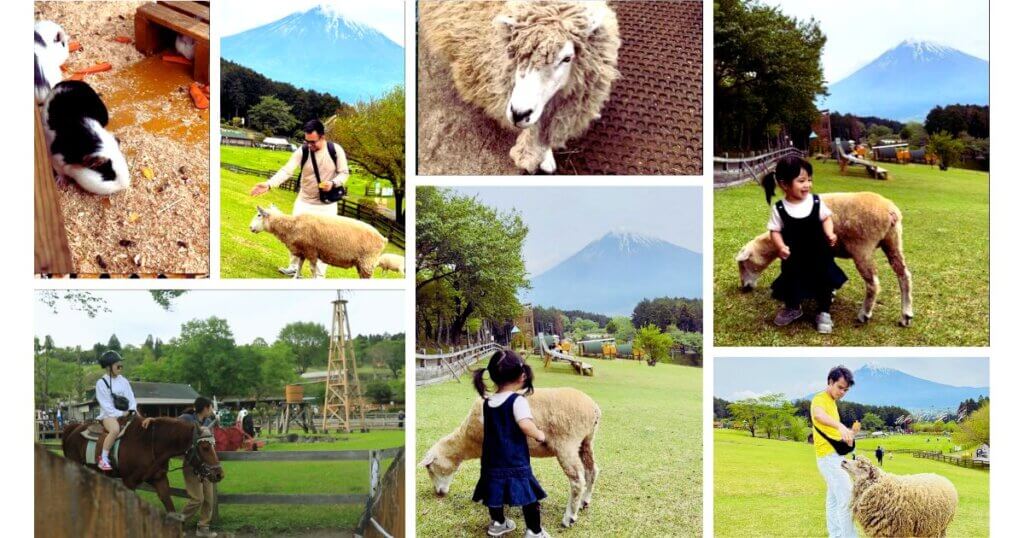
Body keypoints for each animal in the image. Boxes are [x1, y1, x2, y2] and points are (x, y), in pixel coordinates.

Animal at [60, 414, 223, 510]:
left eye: (214, 445)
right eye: (205, 447)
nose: (219, 474)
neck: (150, 444)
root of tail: (73, 429)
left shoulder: (159, 479)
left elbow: (169, 507)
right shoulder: (129, 482)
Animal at [248, 203, 387, 278]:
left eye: (259, 215)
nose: (250, 227)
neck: (292, 225)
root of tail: (383, 238)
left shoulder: (312, 251)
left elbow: (312, 270)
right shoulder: (303, 251)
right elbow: (299, 266)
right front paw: (295, 277)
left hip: (367, 262)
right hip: (363, 263)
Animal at [421, 385, 598, 528]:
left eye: (429, 468)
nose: (439, 493)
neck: (467, 440)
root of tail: (594, 407)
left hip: (567, 443)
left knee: (577, 481)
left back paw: (569, 518)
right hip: (586, 441)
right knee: (592, 471)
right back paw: (584, 502)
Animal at [733, 192, 917, 327]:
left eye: (743, 264)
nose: (744, 287)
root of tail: (890, 211)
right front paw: (831, 293)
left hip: (862, 247)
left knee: (873, 283)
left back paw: (864, 314)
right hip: (893, 240)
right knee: (904, 275)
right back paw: (905, 316)